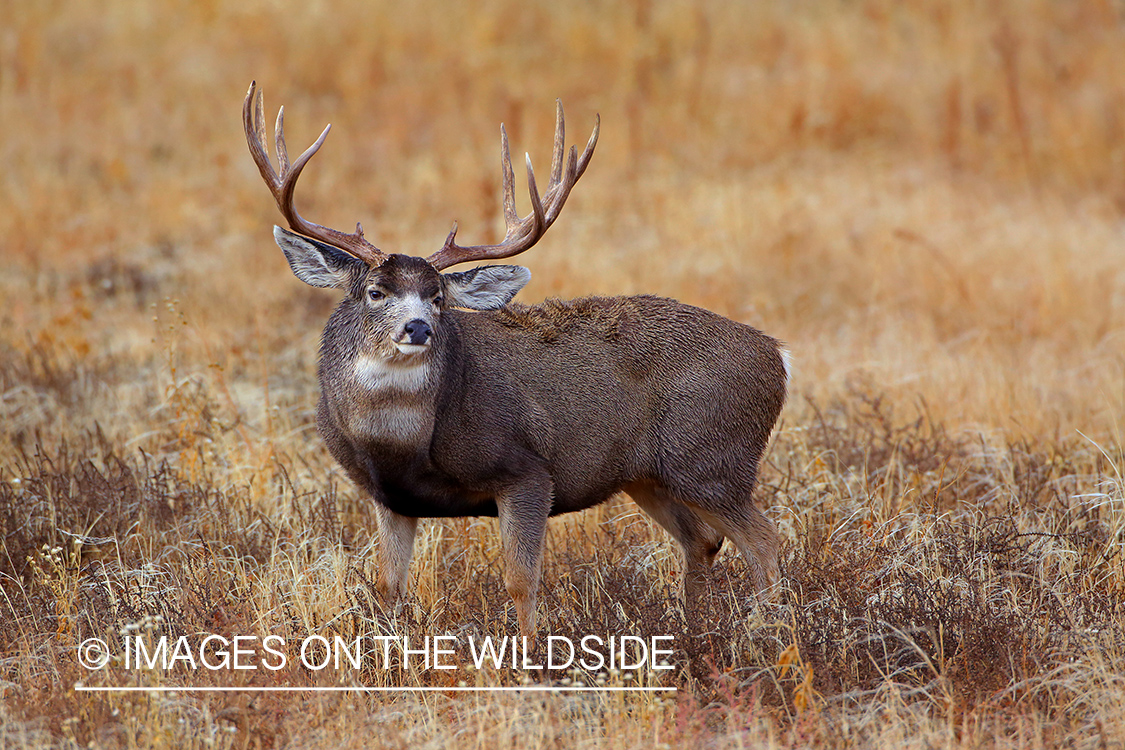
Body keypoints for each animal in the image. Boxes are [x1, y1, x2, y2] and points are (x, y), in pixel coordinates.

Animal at [244, 80, 792, 638]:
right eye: (375, 292)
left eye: (439, 297)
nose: (418, 327)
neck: (402, 444)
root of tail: (777, 356)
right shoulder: (390, 497)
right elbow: (388, 588)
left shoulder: (527, 471)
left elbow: (520, 582)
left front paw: (530, 653)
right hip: (651, 475)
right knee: (703, 539)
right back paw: (696, 632)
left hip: (713, 459)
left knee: (764, 540)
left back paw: (769, 633)